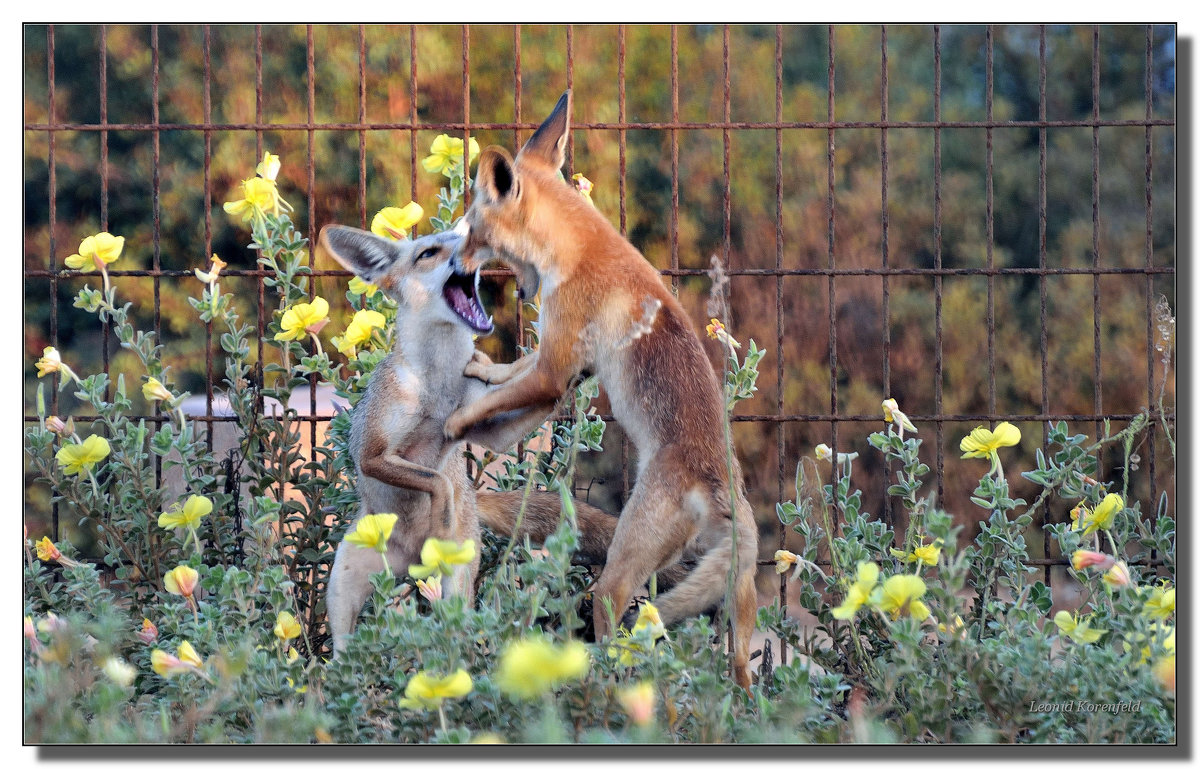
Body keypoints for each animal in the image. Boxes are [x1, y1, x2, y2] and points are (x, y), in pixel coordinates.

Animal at [441, 91, 758, 691]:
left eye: (470, 230)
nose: (449, 260)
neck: (578, 248)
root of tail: (717, 481)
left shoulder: (557, 365)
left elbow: (498, 397)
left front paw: (454, 424)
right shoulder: (568, 366)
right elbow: (508, 373)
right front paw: (483, 371)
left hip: (622, 563)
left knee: (610, 611)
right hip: (735, 592)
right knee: (743, 644)